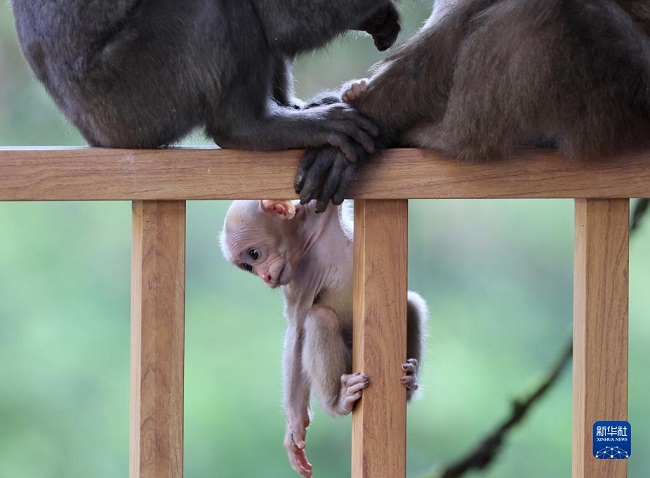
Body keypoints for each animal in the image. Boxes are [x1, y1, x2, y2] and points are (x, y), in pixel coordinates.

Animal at [220, 200, 428, 476]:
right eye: (249, 268)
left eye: (253, 255)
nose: (265, 277)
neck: (309, 243)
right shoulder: (296, 282)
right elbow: (297, 328)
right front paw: (295, 427)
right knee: (320, 318)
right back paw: (338, 402)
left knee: (410, 305)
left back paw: (409, 381)